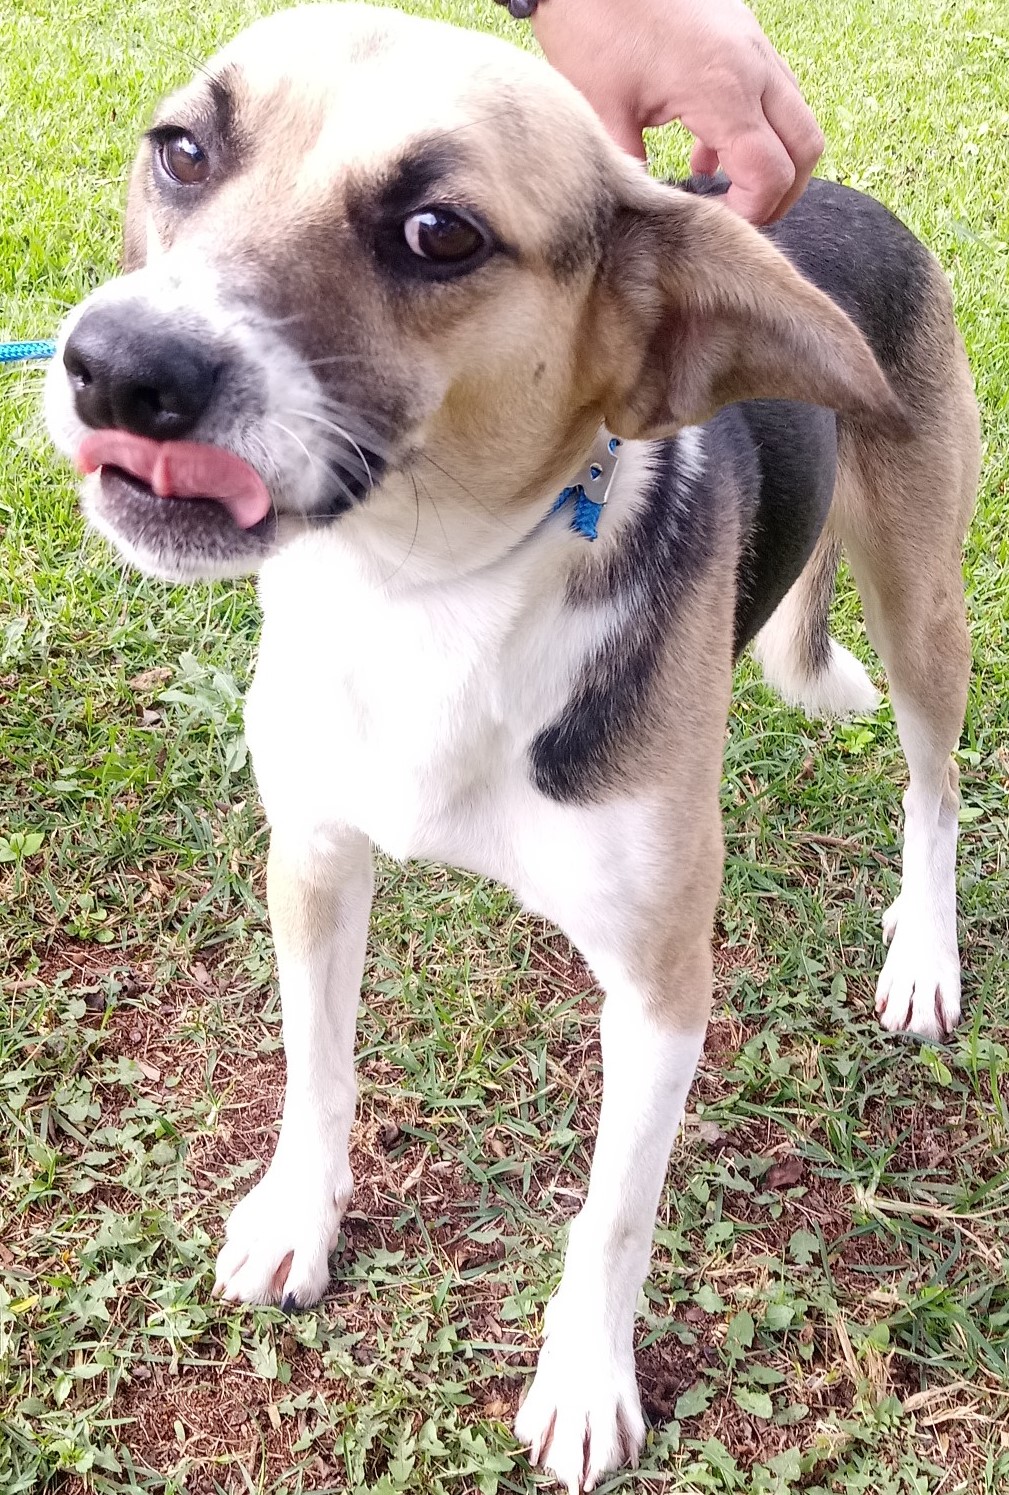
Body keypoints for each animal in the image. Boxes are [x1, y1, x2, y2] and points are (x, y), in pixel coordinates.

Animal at [45, 5, 980, 1489]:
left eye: (440, 233)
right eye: (183, 150)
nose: (117, 366)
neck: (425, 591)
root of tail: (827, 198)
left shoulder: (659, 988)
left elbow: (610, 1214)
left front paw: (585, 1380)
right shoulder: (314, 858)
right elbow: (317, 1070)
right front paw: (297, 1217)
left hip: (920, 604)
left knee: (934, 785)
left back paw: (923, 952)